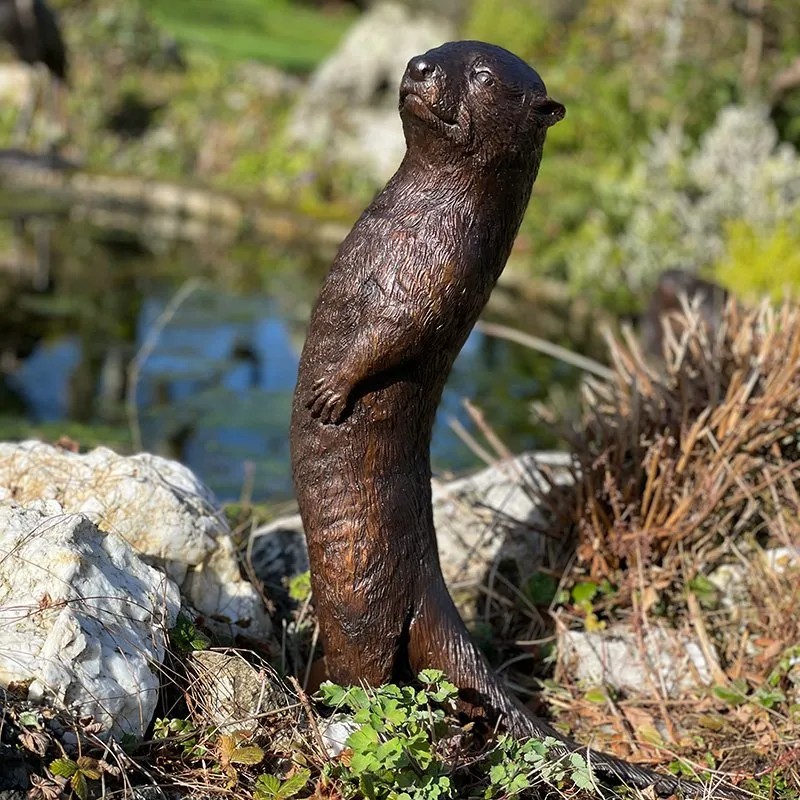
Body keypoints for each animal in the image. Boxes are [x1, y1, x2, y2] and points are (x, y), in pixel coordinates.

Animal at [290, 41, 744, 799]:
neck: (407, 224)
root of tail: (433, 592)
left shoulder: (444, 270)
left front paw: (330, 391)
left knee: (368, 674)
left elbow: (396, 333)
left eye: (479, 74)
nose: (416, 65)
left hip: (359, 597)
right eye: (437, 50)